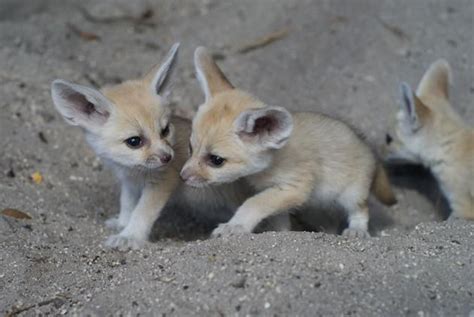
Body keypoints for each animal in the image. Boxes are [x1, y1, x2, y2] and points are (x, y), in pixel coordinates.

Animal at [49, 43, 252, 249]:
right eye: (134, 141)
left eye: (165, 130)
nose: (168, 157)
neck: (135, 172)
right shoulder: (129, 182)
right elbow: (127, 203)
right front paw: (122, 223)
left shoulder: (162, 182)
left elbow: (142, 211)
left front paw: (130, 235)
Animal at [179, 47, 396, 237]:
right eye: (190, 148)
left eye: (216, 160)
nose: (182, 177)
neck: (273, 161)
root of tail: (367, 145)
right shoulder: (277, 192)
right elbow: (277, 218)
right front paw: (279, 233)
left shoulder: (294, 187)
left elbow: (254, 203)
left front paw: (236, 225)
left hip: (351, 194)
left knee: (361, 210)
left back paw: (357, 230)